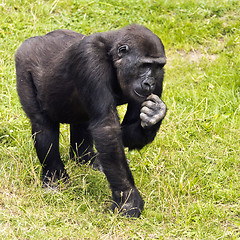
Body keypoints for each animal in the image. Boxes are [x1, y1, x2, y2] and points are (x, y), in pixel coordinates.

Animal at [15, 24, 167, 218]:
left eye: (157, 67)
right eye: (144, 65)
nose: (149, 83)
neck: (112, 56)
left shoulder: (160, 76)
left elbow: (125, 131)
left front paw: (154, 115)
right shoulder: (90, 59)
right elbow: (107, 127)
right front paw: (128, 199)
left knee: (82, 121)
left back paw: (85, 159)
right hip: (23, 61)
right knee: (42, 124)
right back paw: (55, 178)